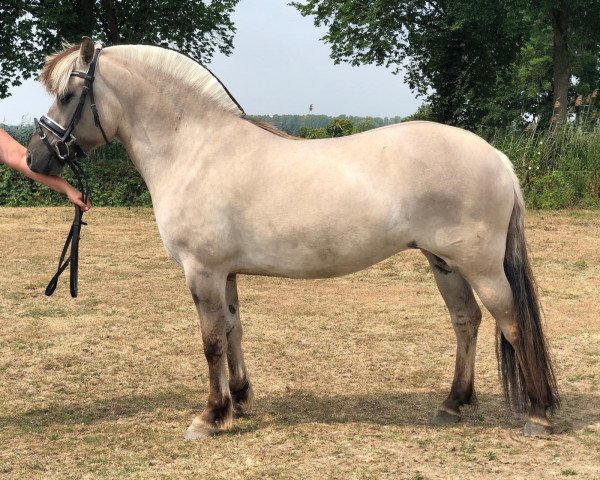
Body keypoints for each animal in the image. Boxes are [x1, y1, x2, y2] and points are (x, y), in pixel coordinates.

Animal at [25, 39, 560, 440]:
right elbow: (234, 330)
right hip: (443, 262)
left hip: (481, 266)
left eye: (68, 96)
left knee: (512, 321)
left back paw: (538, 413)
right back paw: (452, 404)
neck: (195, 149)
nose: (35, 158)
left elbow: (211, 341)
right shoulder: (225, 272)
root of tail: (496, 156)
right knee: (466, 321)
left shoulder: (202, 271)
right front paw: (239, 401)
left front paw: (209, 416)